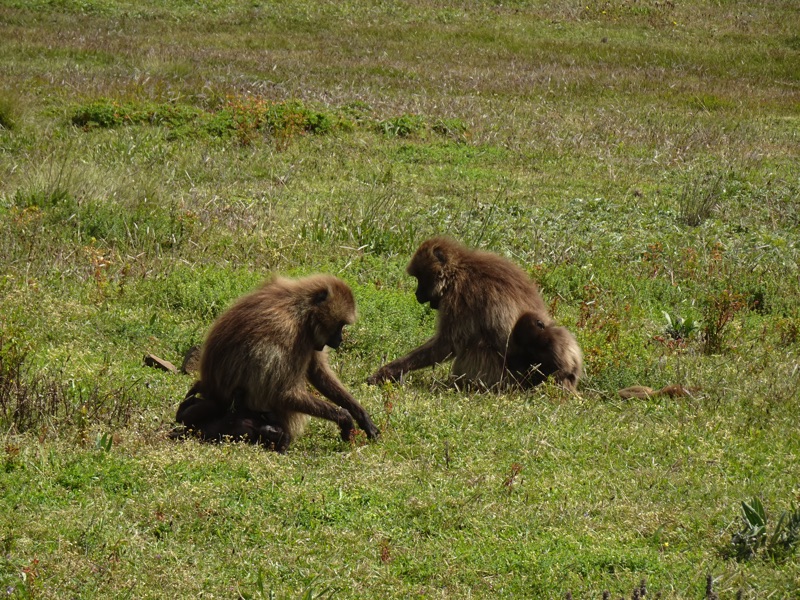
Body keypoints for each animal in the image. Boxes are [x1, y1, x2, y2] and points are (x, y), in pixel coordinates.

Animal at [174, 274, 380, 451]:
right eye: (339, 325)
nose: (340, 341)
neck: (301, 310)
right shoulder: (286, 332)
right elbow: (283, 394)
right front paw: (345, 420)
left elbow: (318, 372)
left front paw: (363, 418)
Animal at [367, 236, 554, 389]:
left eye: (420, 278)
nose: (417, 294)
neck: (457, 270)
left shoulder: (460, 296)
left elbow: (447, 344)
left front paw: (388, 372)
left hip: (502, 376)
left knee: (475, 344)